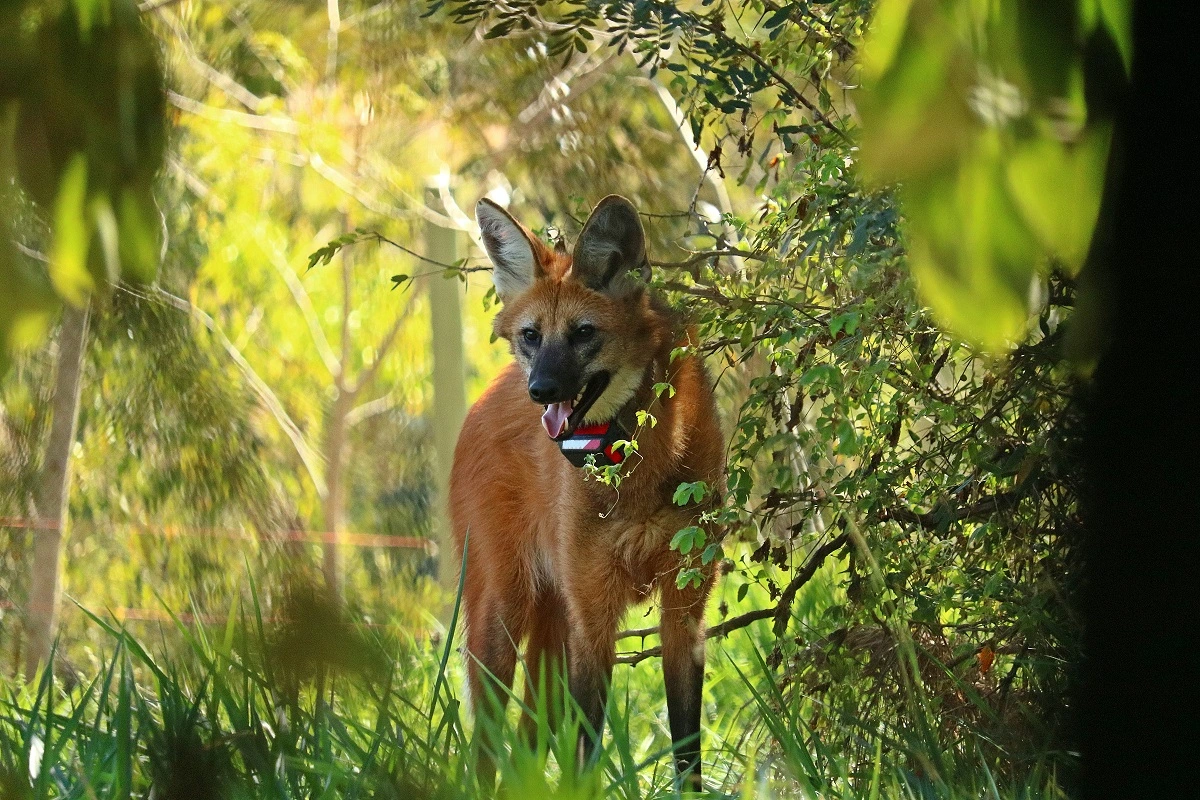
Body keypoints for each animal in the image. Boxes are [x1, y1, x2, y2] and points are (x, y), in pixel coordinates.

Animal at [451, 194, 720, 786]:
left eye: (582, 333)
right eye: (531, 335)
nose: (541, 390)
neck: (638, 473)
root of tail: (481, 400)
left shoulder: (684, 612)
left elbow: (686, 751)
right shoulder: (592, 619)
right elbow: (585, 759)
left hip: (550, 622)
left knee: (525, 745)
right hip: (504, 614)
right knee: (485, 746)